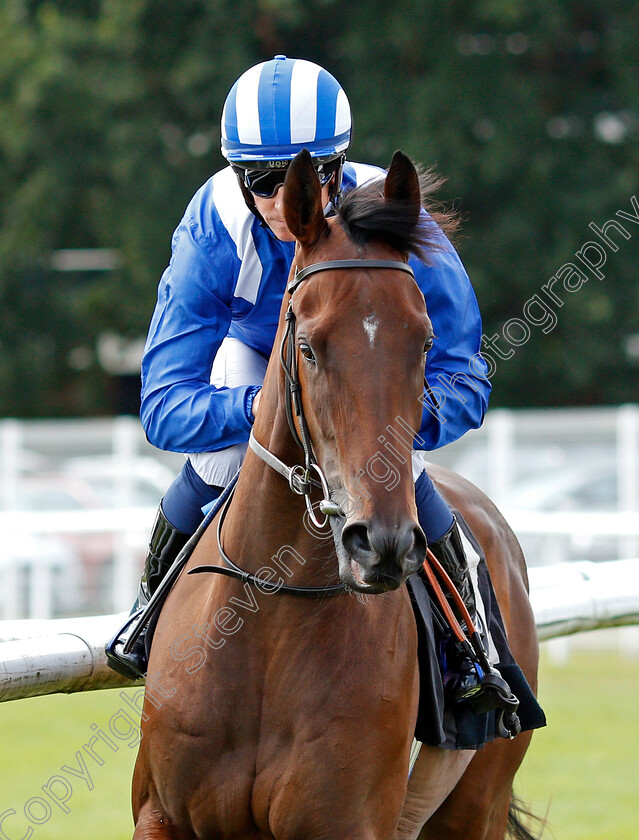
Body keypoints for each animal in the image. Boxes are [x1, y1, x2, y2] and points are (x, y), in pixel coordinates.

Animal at [132, 151, 544, 840]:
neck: (268, 617)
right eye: (307, 346)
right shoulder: (160, 814)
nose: (381, 544)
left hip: (476, 804)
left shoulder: (346, 821)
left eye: (425, 342)